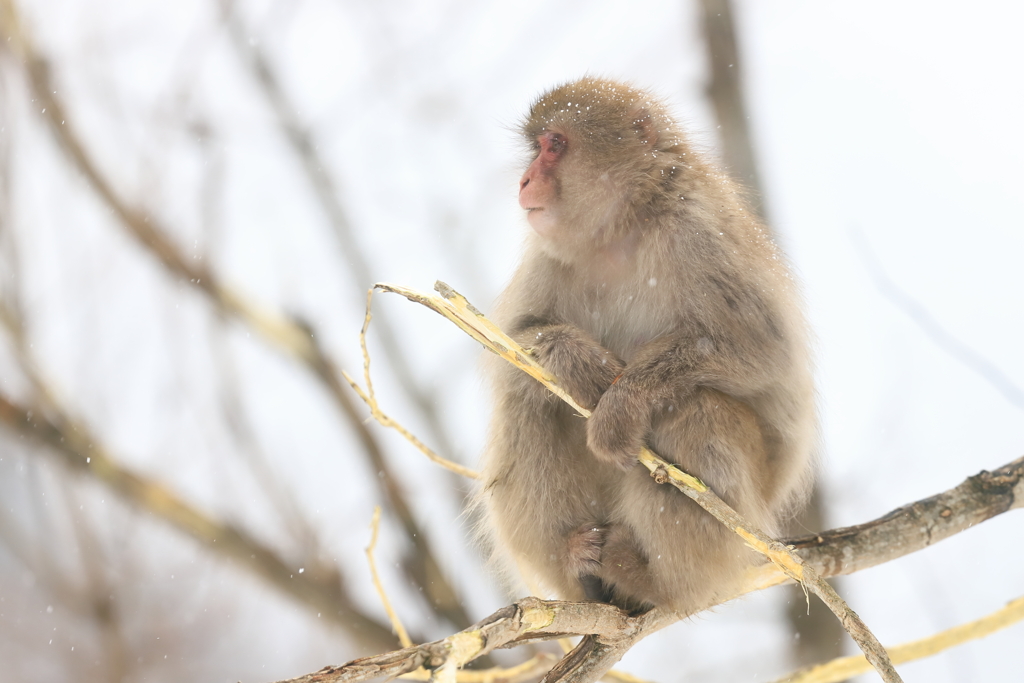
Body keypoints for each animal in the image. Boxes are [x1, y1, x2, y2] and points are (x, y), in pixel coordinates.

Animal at [477, 77, 815, 618]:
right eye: (537, 148)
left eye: (554, 145)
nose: (526, 181)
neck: (625, 226)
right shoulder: (547, 256)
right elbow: (509, 343)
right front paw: (576, 361)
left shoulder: (698, 232)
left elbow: (761, 351)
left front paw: (622, 402)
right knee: (528, 401)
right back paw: (575, 560)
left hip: (745, 521)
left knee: (694, 412)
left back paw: (656, 579)